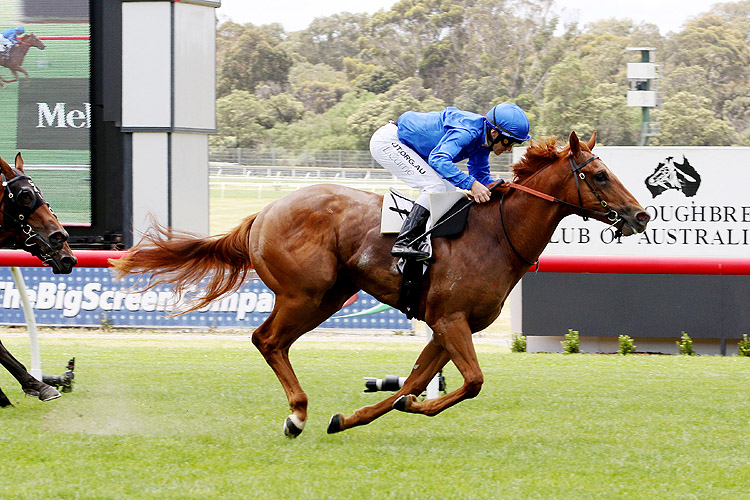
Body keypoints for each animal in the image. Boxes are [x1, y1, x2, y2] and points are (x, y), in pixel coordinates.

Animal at [111, 133, 652, 438]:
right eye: (599, 175)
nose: (641, 215)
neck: (496, 234)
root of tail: (263, 211)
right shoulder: (449, 319)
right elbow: (472, 382)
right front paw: (408, 405)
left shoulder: (446, 326)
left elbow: (411, 384)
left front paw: (358, 416)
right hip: (304, 293)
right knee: (266, 339)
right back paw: (297, 415)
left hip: (328, 298)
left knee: (276, 342)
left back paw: (304, 415)